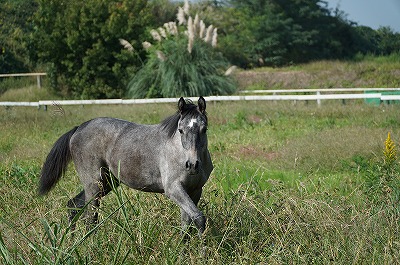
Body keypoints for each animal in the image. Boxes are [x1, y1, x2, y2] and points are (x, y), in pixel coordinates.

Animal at [38, 96, 212, 233]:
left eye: (204, 129)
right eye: (181, 130)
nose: (192, 165)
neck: (177, 151)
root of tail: (78, 128)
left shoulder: (194, 190)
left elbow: (187, 223)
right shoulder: (174, 189)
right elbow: (198, 218)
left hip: (107, 182)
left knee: (73, 206)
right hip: (94, 184)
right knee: (90, 218)